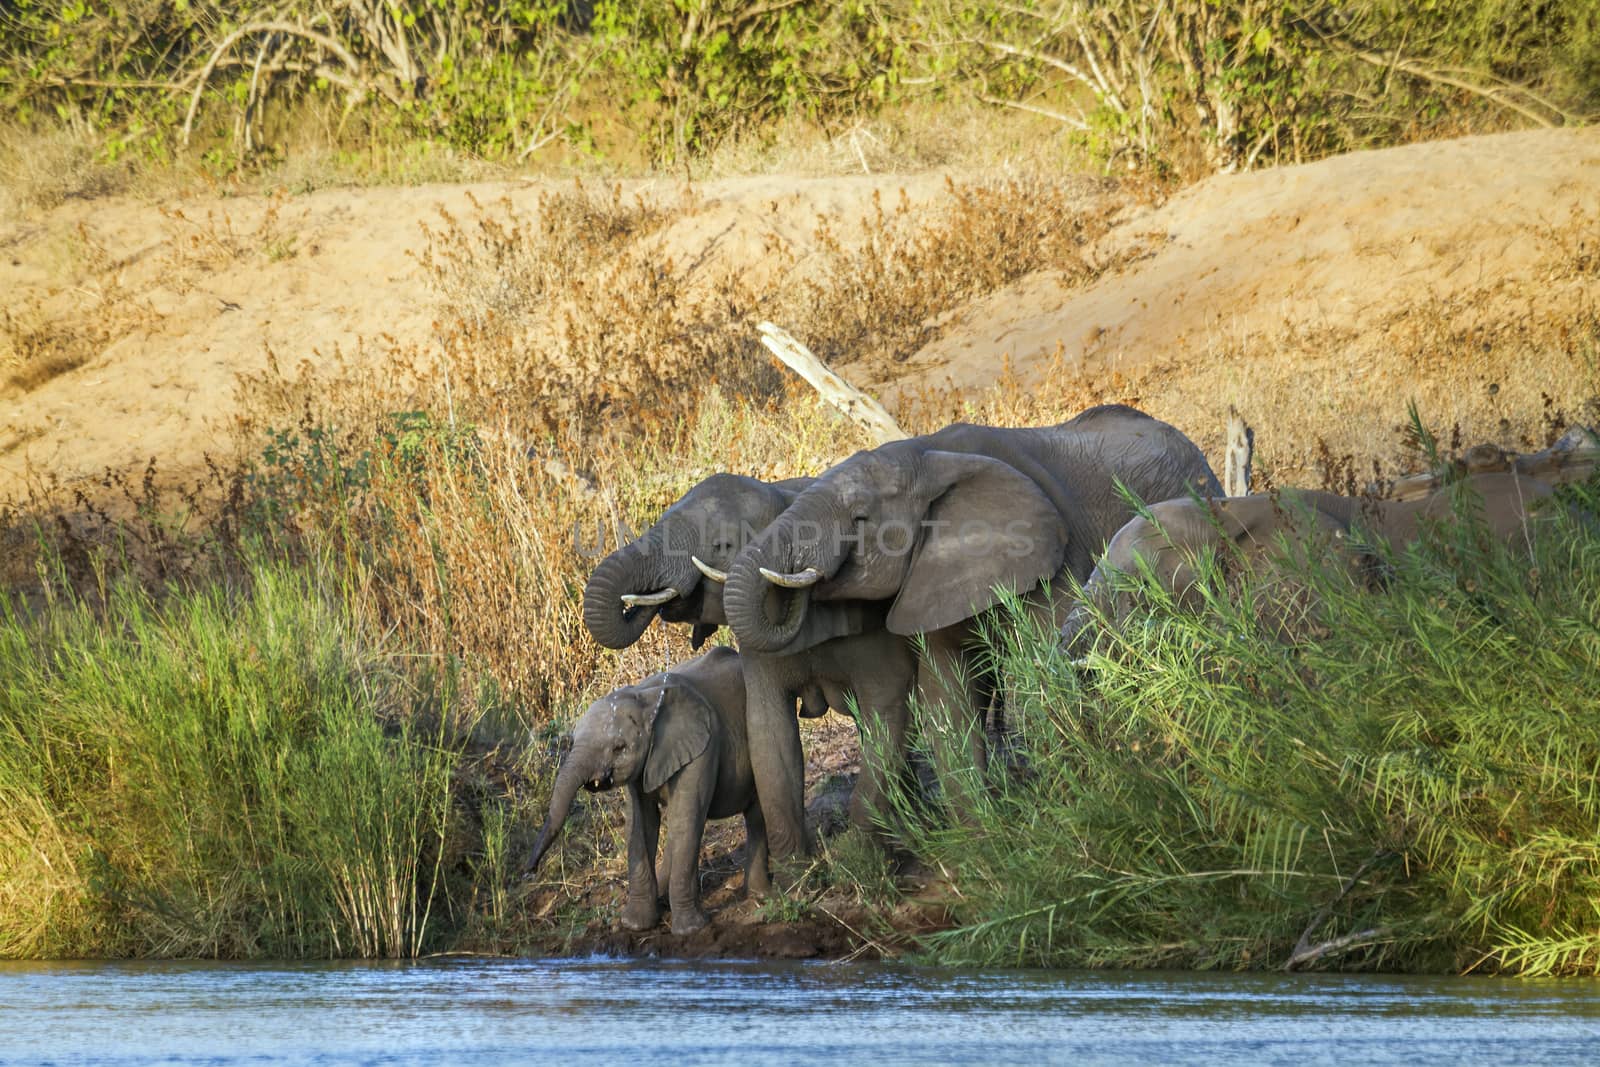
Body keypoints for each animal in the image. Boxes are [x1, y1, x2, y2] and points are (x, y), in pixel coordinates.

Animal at [524, 643, 768, 934]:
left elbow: (686, 820)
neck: (645, 698)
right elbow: (640, 823)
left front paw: (691, 929)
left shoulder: (703, 748)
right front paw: (636, 925)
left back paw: (759, 895)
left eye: (619, 747)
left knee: (756, 813)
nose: (530, 870)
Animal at [726, 404, 1222, 844]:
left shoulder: (1051, 556)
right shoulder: (931, 575)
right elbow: (946, 695)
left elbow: (1042, 673)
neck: (929, 457)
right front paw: (986, 837)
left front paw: (1079, 813)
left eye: (860, 519)